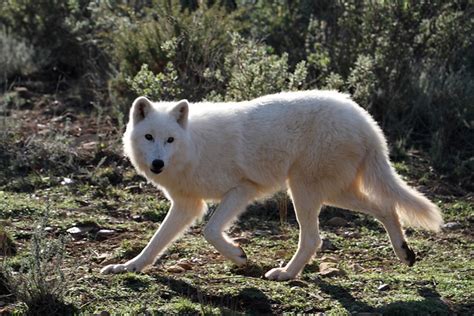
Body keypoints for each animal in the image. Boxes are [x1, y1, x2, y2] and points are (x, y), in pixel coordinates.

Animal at [101, 90, 444, 280]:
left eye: (170, 139)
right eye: (149, 137)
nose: (158, 164)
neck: (194, 147)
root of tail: (366, 121)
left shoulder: (243, 188)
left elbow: (210, 231)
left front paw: (238, 256)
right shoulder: (188, 205)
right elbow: (155, 243)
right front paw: (128, 267)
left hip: (305, 190)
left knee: (314, 239)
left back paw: (286, 274)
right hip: (332, 192)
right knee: (386, 207)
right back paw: (405, 253)